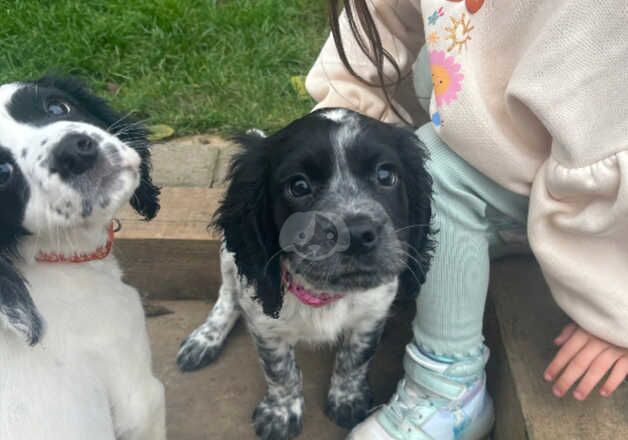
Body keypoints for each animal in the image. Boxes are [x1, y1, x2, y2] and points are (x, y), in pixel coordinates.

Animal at [177, 108, 432, 438]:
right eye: (298, 186)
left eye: (386, 176)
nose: (356, 234)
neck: (324, 293)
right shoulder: (264, 323)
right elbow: (279, 370)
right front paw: (281, 412)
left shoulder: (371, 313)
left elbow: (355, 358)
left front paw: (347, 398)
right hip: (228, 257)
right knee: (228, 294)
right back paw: (206, 337)